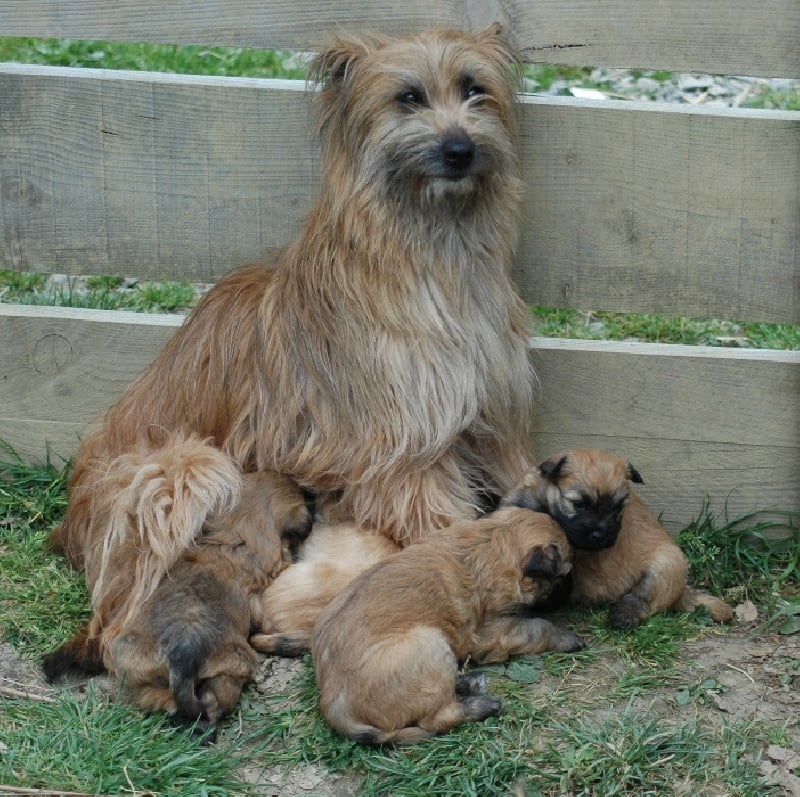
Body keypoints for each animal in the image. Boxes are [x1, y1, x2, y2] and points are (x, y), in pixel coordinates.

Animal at [314, 506, 588, 744]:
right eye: (564, 574)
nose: (572, 593)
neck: (493, 541)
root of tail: (335, 706)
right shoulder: (495, 632)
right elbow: (538, 627)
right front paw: (567, 637)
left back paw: (467, 683)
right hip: (429, 644)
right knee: (437, 719)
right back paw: (481, 706)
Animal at [504, 448, 736, 628]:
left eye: (618, 507)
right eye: (579, 504)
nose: (601, 535)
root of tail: (682, 592)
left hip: (666, 565)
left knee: (641, 600)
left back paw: (623, 616)